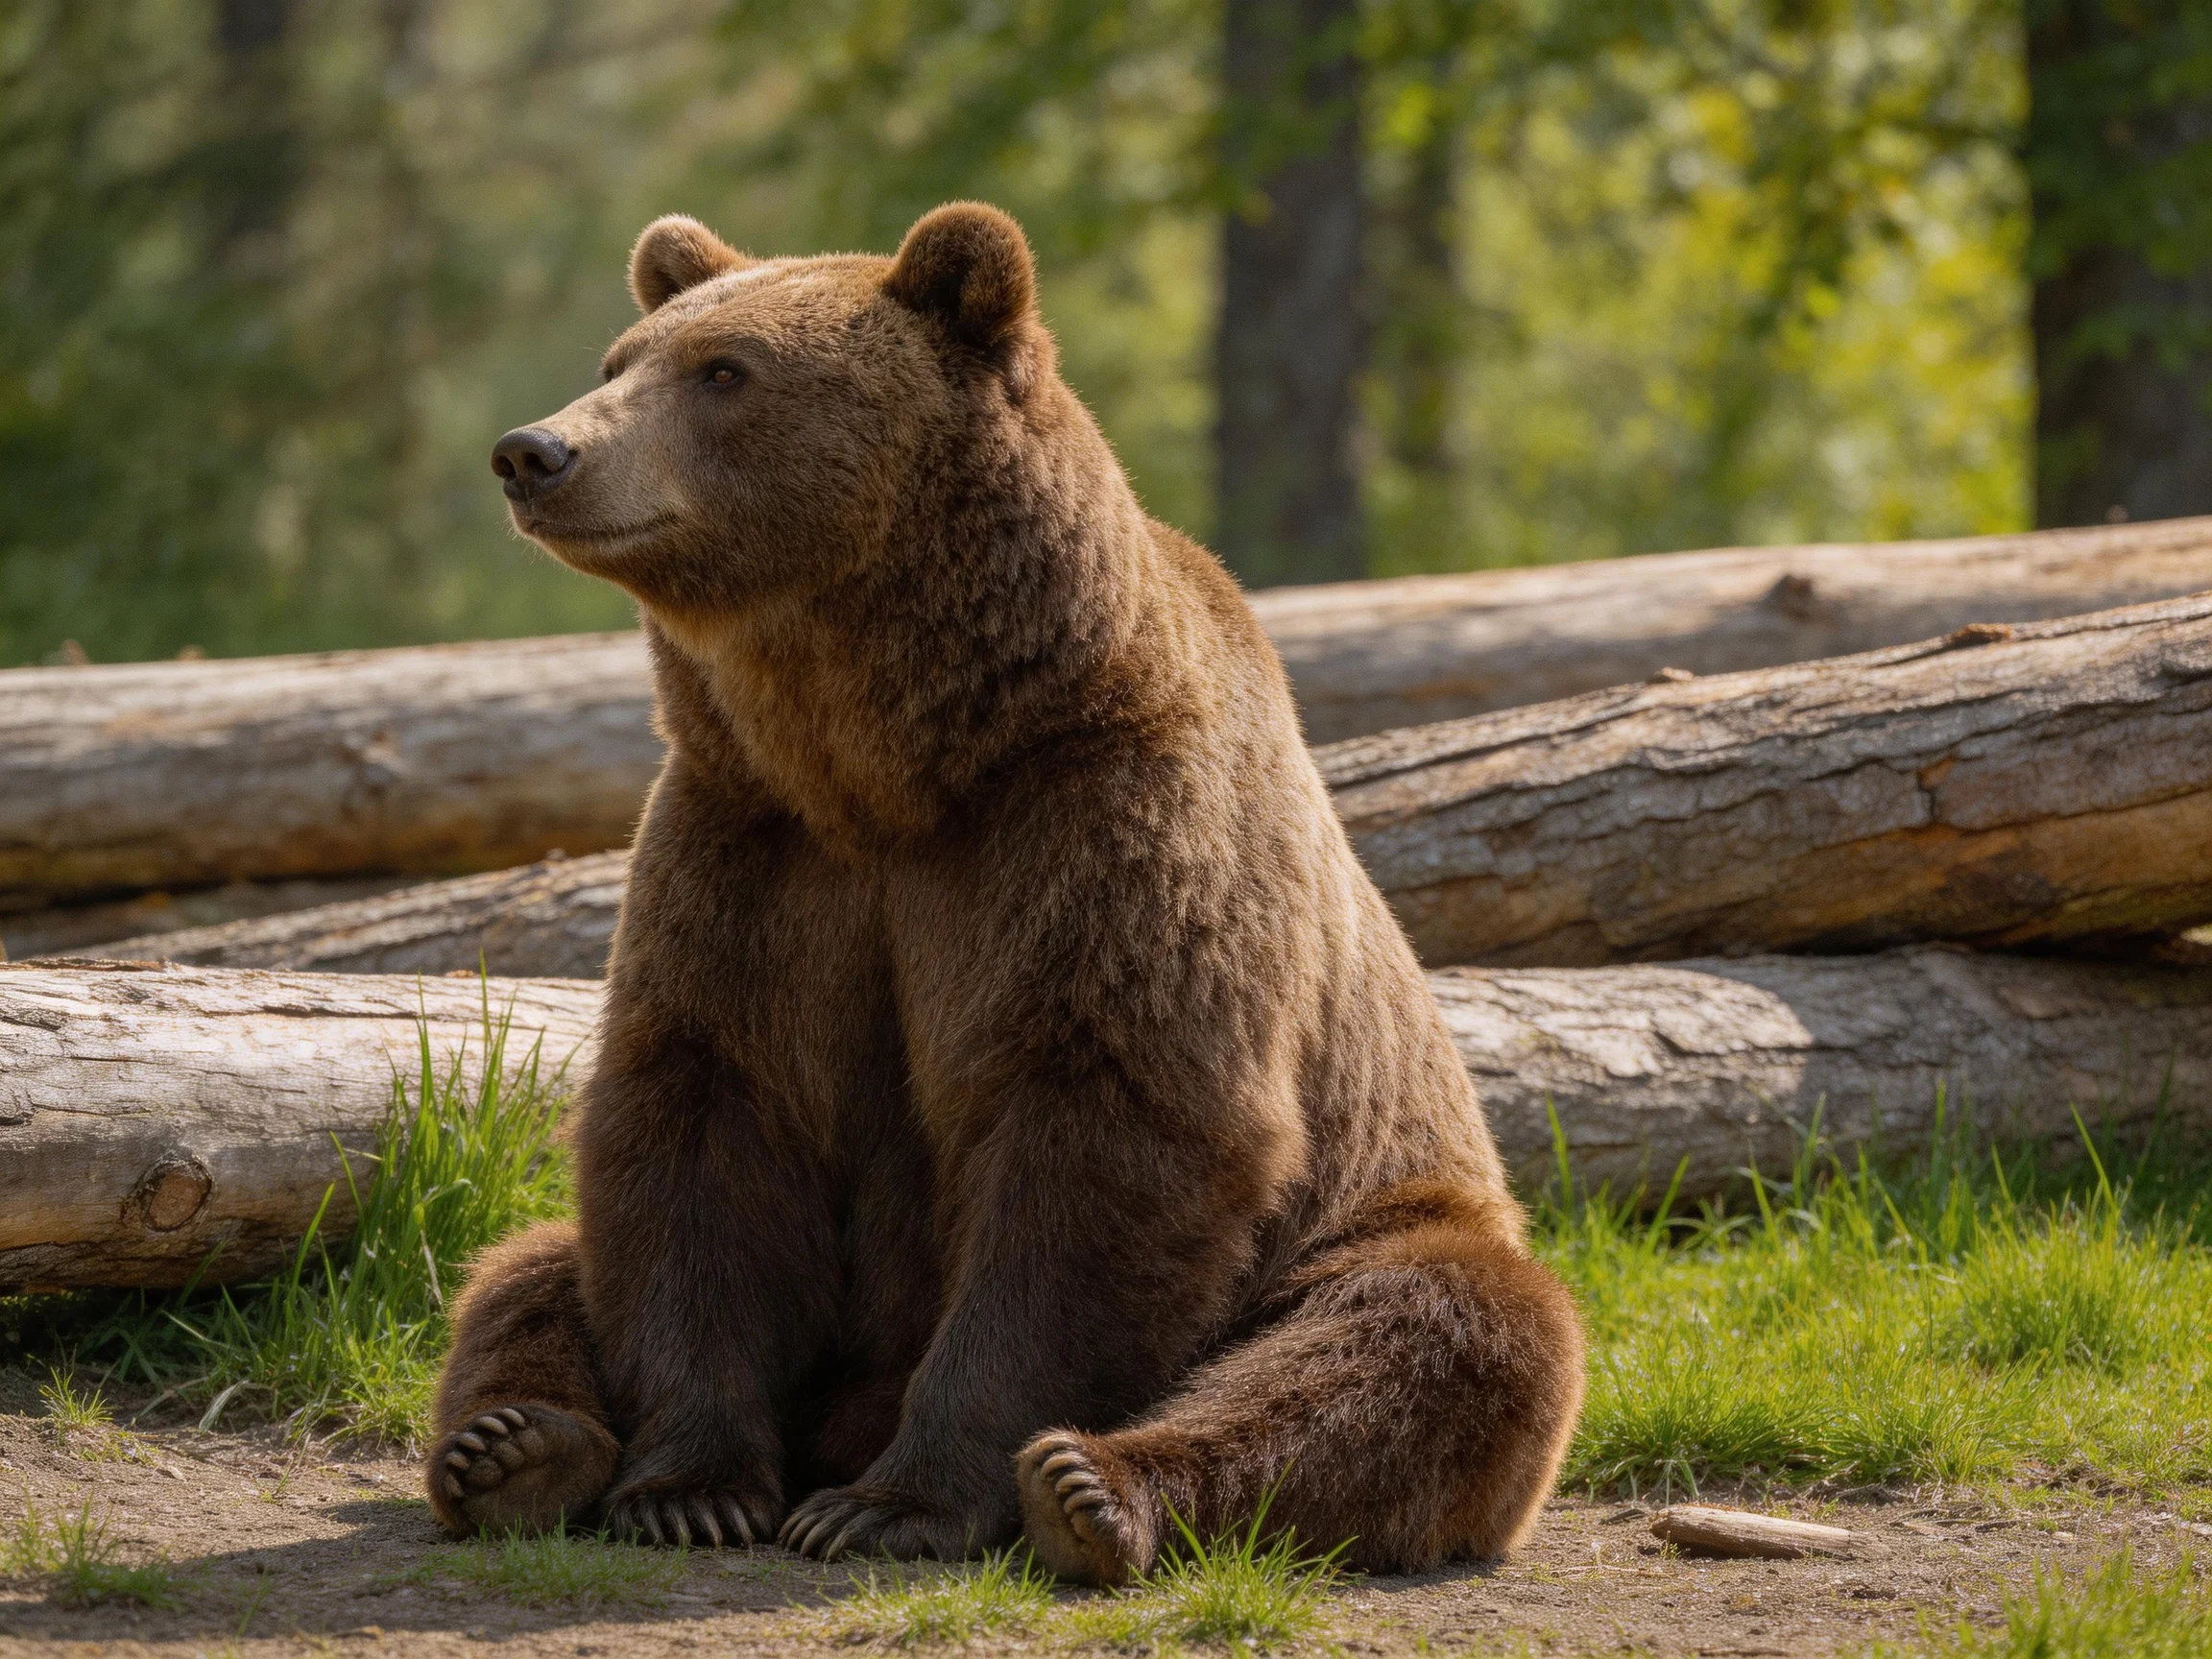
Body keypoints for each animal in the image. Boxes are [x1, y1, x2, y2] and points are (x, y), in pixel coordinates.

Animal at [427, 201, 1584, 1584]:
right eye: (621, 359)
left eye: (725, 372)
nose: (534, 451)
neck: (890, 760)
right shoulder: (752, 847)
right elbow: (700, 1111)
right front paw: (690, 1487)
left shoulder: (1101, 825)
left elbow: (1109, 1123)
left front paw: (893, 1503)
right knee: (525, 1269)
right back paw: (517, 1447)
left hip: (1361, 1219)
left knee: (1425, 1336)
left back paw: (1097, 1486)